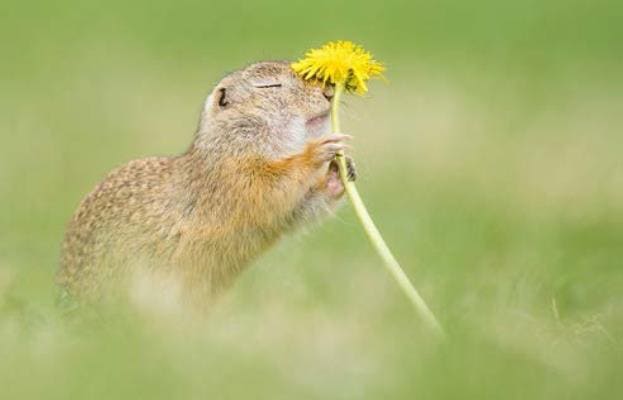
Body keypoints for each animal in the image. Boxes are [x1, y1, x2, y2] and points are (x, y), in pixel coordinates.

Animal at [58, 61, 356, 308]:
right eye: (270, 85)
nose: (329, 92)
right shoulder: (235, 176)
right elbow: (273, 186)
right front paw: (319, 151)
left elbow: (297, 209)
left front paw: (341, 172)